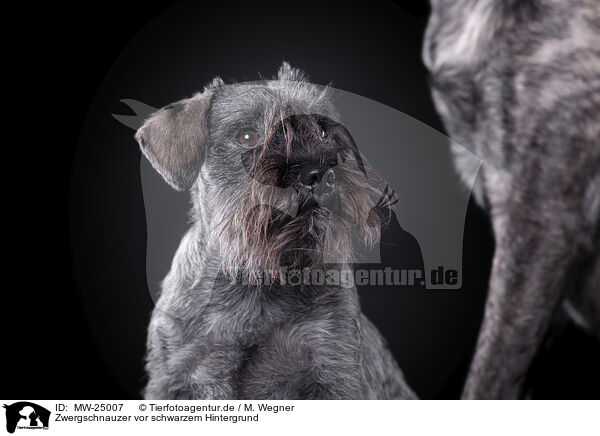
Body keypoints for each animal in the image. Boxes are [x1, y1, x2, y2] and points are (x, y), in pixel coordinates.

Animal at [136, 63, 418, 400]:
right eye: (248, 136)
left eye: (323, 131)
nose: (320, 173)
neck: (256, 279)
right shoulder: (175, 378)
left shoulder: (331, 368)